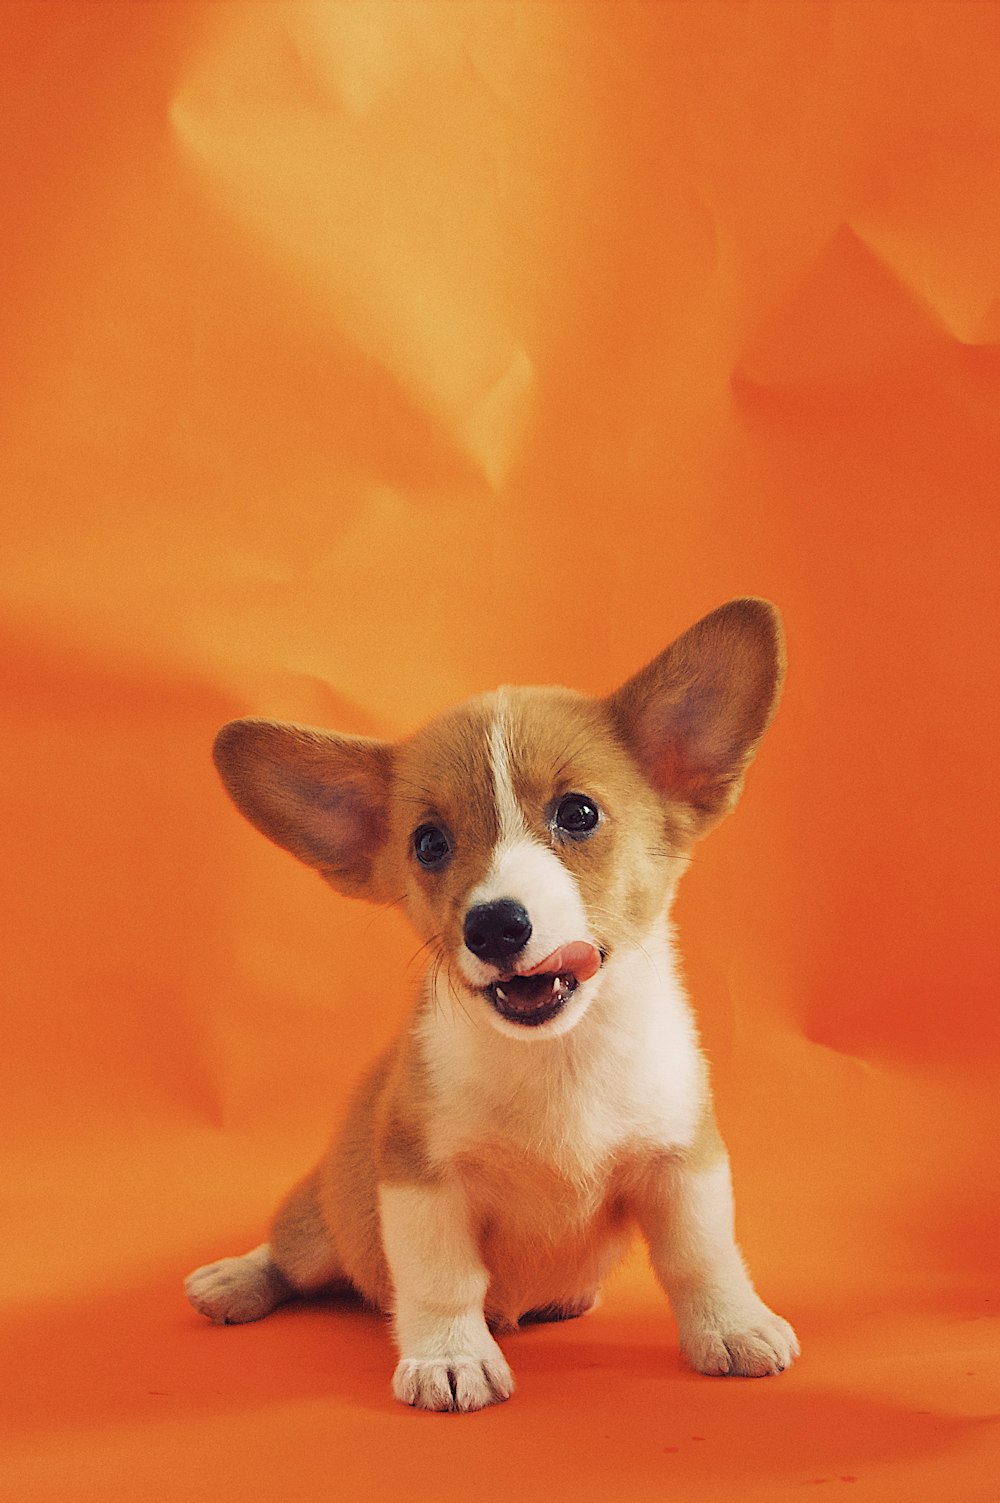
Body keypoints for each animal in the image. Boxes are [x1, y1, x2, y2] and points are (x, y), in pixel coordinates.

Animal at [184, 595, 793, 1406]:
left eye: (578, 813)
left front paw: (731, 1325)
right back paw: (235, 1277)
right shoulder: (420, 1177)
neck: (559, 1056)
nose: (495, 925)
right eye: (429, 842)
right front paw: (449, 1358)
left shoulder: (680, 1159)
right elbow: (442, 1281)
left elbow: (702, 1255)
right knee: (293, 1251)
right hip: (324, 1219)